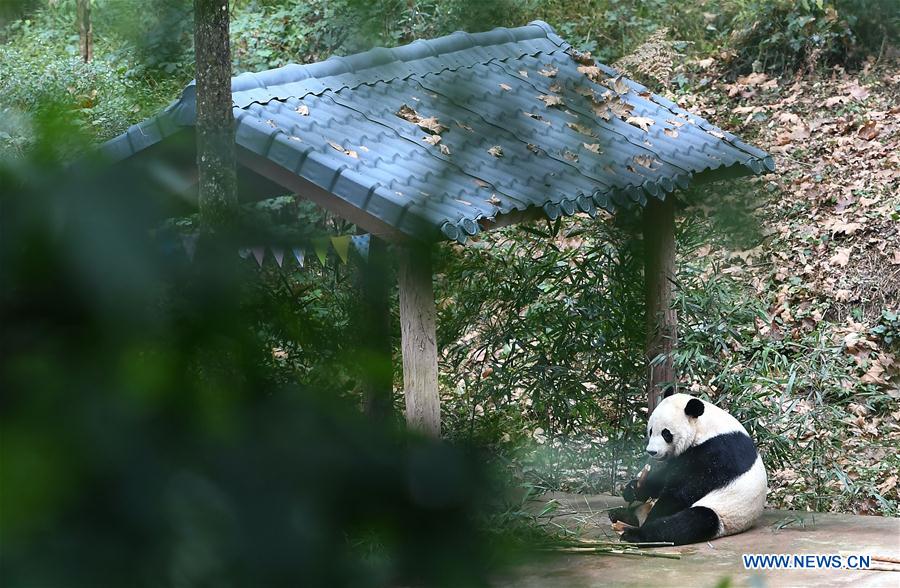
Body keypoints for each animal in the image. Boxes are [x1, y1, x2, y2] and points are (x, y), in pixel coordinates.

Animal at [610, 390, 767, 546]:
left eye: (666, 433)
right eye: (651, 430)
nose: (652, 452)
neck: (704, 428)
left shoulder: (719, 453)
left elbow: (684, 491)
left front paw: (654, 513)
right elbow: (665, 477)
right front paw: (633, 489)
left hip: (725, 512)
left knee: (691, 522)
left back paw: (637, 533)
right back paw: (621, 514)